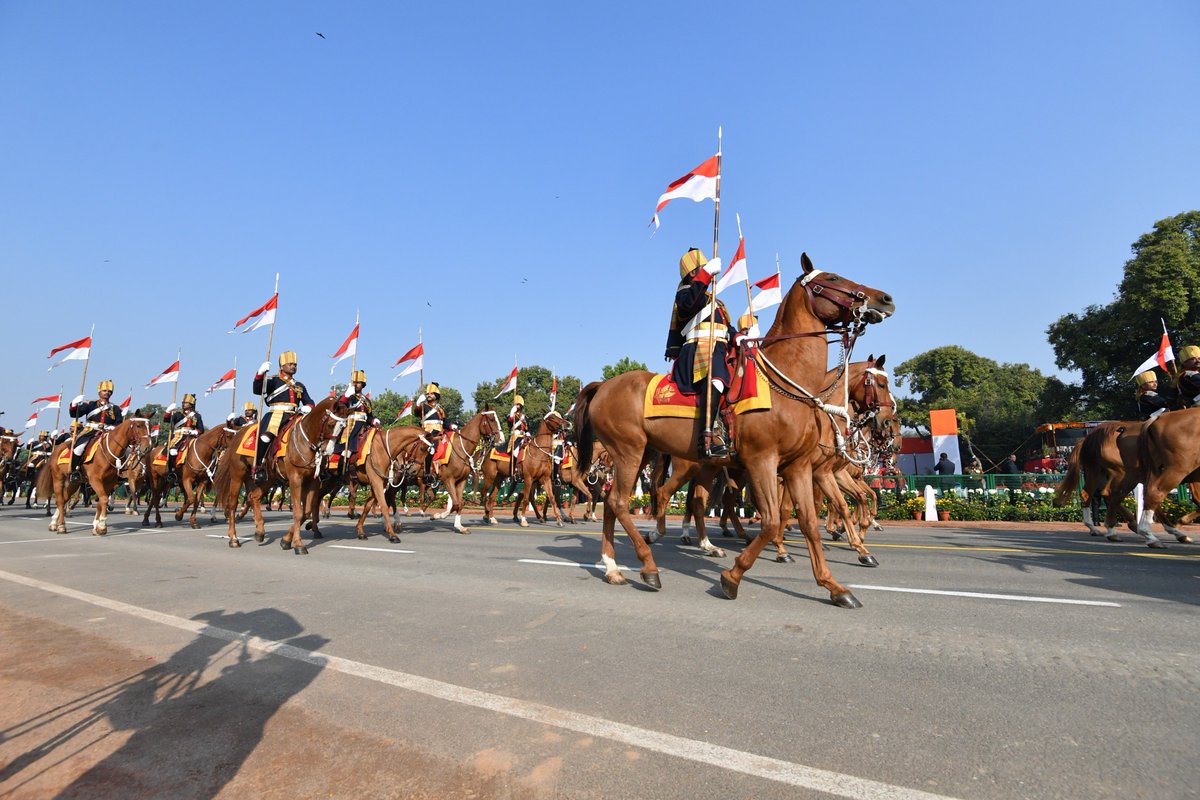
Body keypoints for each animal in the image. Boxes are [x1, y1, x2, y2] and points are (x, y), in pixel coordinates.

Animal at [211, 395, 350, 551]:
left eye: (344, 427)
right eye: (331, 424)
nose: (328, 451)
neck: (306, 441)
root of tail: (240, 433)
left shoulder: (313, 481)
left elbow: (306, 511)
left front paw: (286, 540)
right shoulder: (295, 479)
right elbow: (298, 512)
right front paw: (298, 544)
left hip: (268, 478)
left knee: (254, 497)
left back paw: (259, 531)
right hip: (238, 474)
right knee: (233, 503)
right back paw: (234, 538)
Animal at [576, 256, 897, 606]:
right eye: (833, 278)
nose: (884, 299)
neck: (789, 385)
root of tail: (604, 384)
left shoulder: (798, 468)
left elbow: (810, 522)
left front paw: (834, 585)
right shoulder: (765, 462)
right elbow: (772, 520)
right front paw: (734, 576)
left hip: (645, 454)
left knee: (624, 501)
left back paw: (613, 567)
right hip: (630, 451)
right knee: (628, 501)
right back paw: (650, 563)